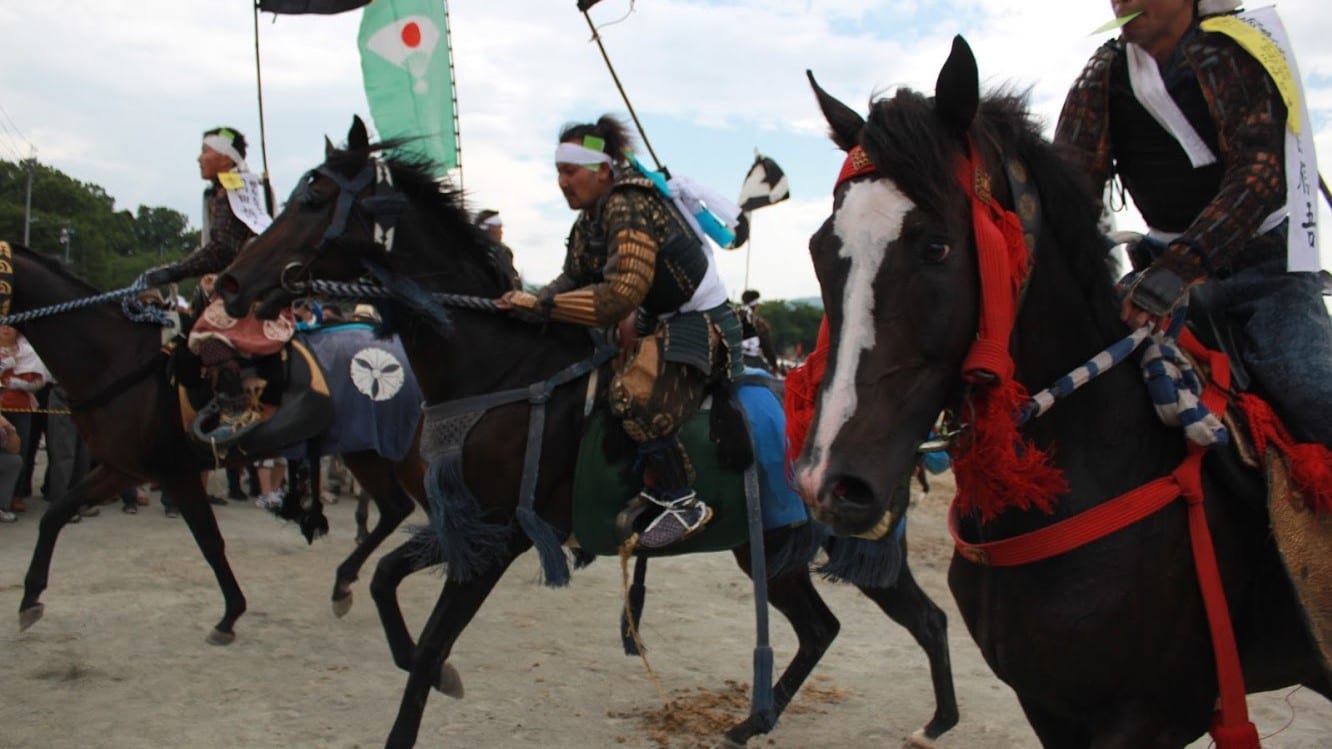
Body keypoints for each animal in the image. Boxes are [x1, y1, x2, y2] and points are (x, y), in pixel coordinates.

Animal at [5, 243, 427, 642]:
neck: (118, 360)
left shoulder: (174, 471)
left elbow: (210, 541)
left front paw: (230, 615)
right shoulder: (124, 469)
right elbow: (55, 514)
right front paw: (30, 599)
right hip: (365, 449)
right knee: (395, 507)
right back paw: (343, 583)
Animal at [213, 116, 958, 748]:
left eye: (313, 197)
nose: (230, 282)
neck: (499, 366)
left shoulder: (502, 536)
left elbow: (429, 646)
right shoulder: (468, 522)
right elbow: (386, 583)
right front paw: (422, 658)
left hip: (803, 544)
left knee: (918, 618)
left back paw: (932, 721)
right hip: (770, 551)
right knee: (827, 627)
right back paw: (758, 720)